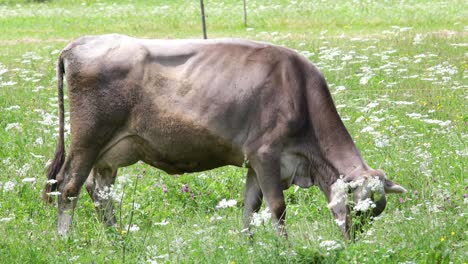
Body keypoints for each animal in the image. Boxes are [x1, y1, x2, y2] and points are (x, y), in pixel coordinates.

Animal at [43, 34, 406, 238]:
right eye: (359, 207)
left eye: (375, 212)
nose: (351, 240)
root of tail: (78, 44)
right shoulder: (266, 154)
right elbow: (277, 208)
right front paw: (285, 248)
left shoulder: (253, 163)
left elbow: (250, 208)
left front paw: (248, 245)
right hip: (88, 138)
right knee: (69, 187)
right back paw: (65, 242)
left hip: (112, 151)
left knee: (99, 191)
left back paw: (118, 238)